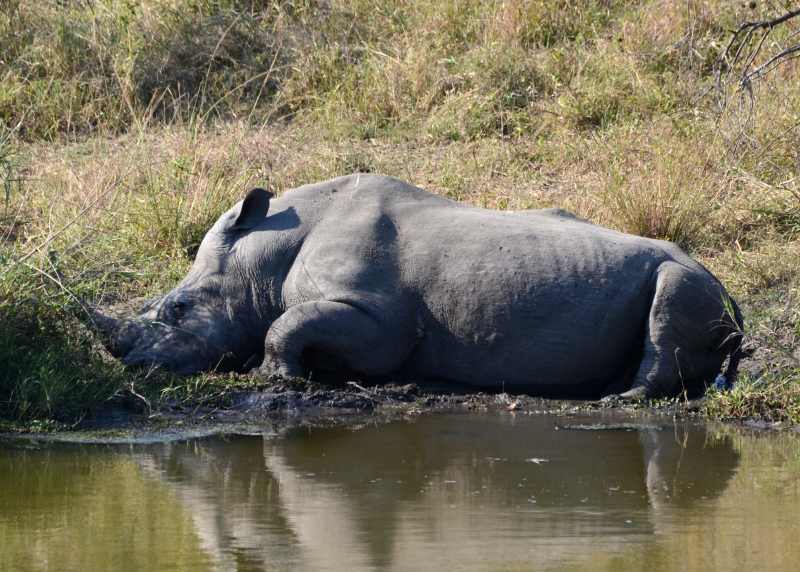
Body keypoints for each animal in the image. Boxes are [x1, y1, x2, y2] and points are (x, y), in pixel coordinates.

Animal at [95, 174, 743, 400]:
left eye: (179, 308)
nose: (136, 365)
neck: (264, 257)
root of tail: (729, 288)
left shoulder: (378, 319)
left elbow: (289, 322)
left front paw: (273, 377)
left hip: (686, 275)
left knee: (668, 299)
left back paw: (619, 400)